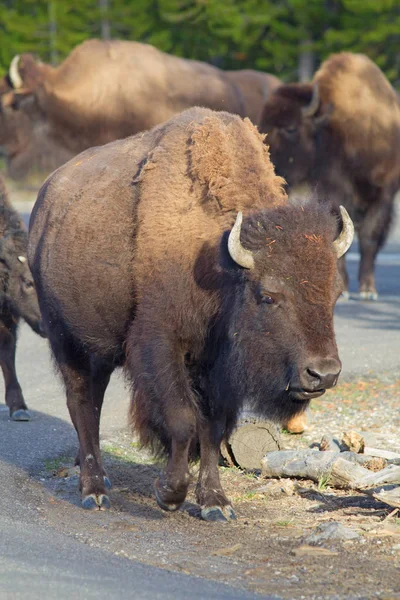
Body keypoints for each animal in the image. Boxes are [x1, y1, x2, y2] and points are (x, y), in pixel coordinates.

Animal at [28, 108, 354, 520]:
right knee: (80, 401)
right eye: (267, 296)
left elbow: (212, 429)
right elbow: (183, 421)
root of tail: (45, 202)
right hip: (64, 336)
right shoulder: (161, 345)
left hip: (99, 347)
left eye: (336, 294)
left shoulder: (217, 369)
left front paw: (216, 503)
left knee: (95, 401)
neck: (220, 262)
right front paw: (169, 494)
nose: (322, 373)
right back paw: (94, 490)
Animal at [258, 51, 398, 300]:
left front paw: (368, 290)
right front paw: (343, 287)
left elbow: (369, 238)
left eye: (291, 128)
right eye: (263, 124)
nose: (268, 163)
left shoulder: (383, 196)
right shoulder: (332, 194)